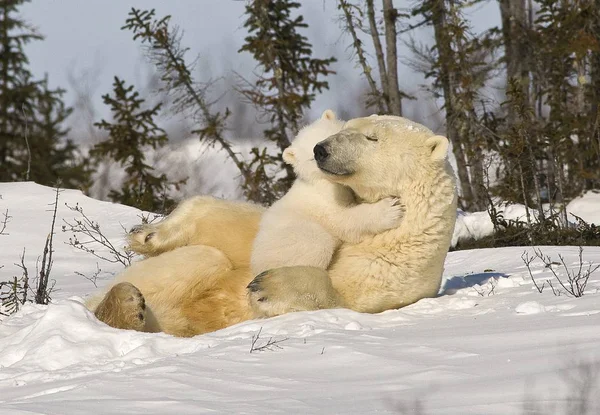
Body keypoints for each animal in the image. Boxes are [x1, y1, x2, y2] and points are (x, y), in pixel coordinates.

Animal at [86, 114, 458, 338]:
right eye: (347, 126)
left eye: (372, 138)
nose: (322, 150)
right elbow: (235, 229)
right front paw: (148, 234)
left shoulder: (394, 268)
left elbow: (343, 294)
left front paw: (268, 285)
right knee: (204, 259)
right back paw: (127, 295)